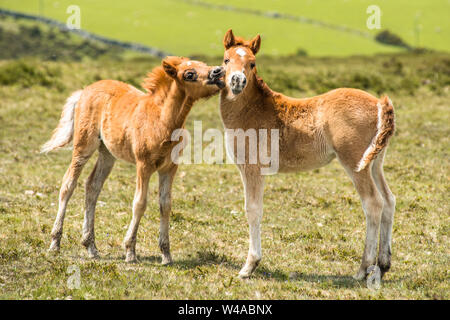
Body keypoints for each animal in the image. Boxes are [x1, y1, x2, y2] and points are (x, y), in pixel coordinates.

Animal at [42, 57, 225, 262]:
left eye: (203, 63)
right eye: (189, 74)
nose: (218, 71)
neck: (161, 120)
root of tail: (84, 90)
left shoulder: (169, 168)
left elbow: (165, 205)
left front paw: (166, 255)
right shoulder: (143, 165)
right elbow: (140, 203)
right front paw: (130, 251)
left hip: (107, 153)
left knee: (92, 186)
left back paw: (91, 247)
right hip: (84, 146)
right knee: (68, 184)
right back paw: (55, 243)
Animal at [220, 30, 396, 280]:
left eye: (252, 63)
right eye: (226, 60)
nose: (237, 82)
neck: (252, 110)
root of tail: (379, 102)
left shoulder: (252, 168)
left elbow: (253, 210)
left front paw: (249, 266)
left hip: (355, 163)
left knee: (373, 203)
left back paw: (363, 269)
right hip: (374, 162)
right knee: (389, 200)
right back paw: (383, 264)